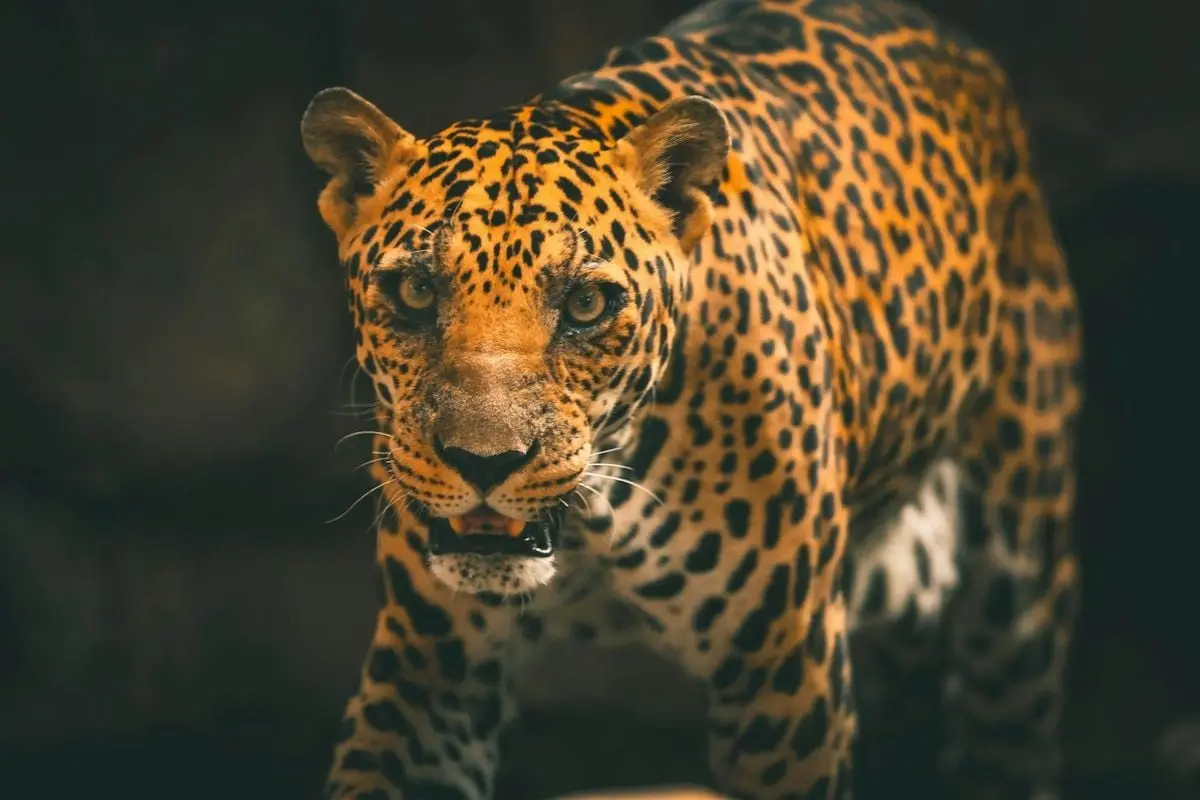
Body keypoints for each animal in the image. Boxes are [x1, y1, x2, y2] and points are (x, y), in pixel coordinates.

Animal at [299, 0, 1083, 797]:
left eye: (586, 304)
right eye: (415, 290)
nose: (483, 463)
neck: (594, 515)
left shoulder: (786, 675)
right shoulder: (429, 673)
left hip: (1017, 588)